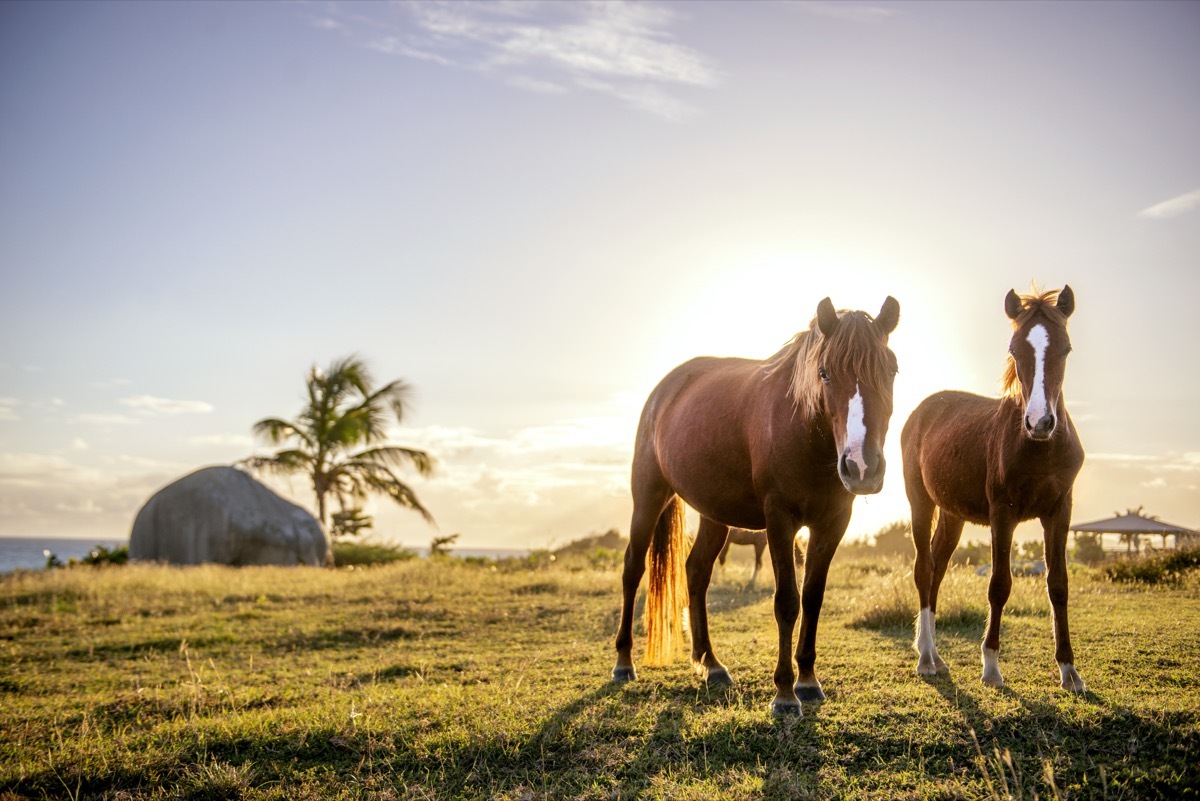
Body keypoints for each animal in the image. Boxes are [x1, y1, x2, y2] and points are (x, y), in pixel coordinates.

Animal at [609, 292, 902, 714]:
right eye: (825, 373)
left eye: (891, 370)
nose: (862, 466)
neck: (803, 432)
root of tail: (665, 390)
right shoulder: (779, 520)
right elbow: (787, 602)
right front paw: (784, 693)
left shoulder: (832, 523)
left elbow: (813, 598)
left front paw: (808, 681)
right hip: (648, 496)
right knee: (633, 569)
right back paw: (623, 662)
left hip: (714, 515)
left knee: (696, 572)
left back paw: (711, 664)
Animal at [902, 287, 1089, 695]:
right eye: (1015, 349)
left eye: (1066, 349)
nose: (1039, 422)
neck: (1040, 447)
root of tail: (922, 410)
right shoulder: (1003, 513)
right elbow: (999, 584)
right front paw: (990, 666)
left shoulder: (1060, 511)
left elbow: (1059, 584)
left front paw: (1069, 670)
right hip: (920, 502)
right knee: (924, 569)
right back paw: (925, 659)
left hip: (952, 514)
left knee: (938, 569)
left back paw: (935, 654)